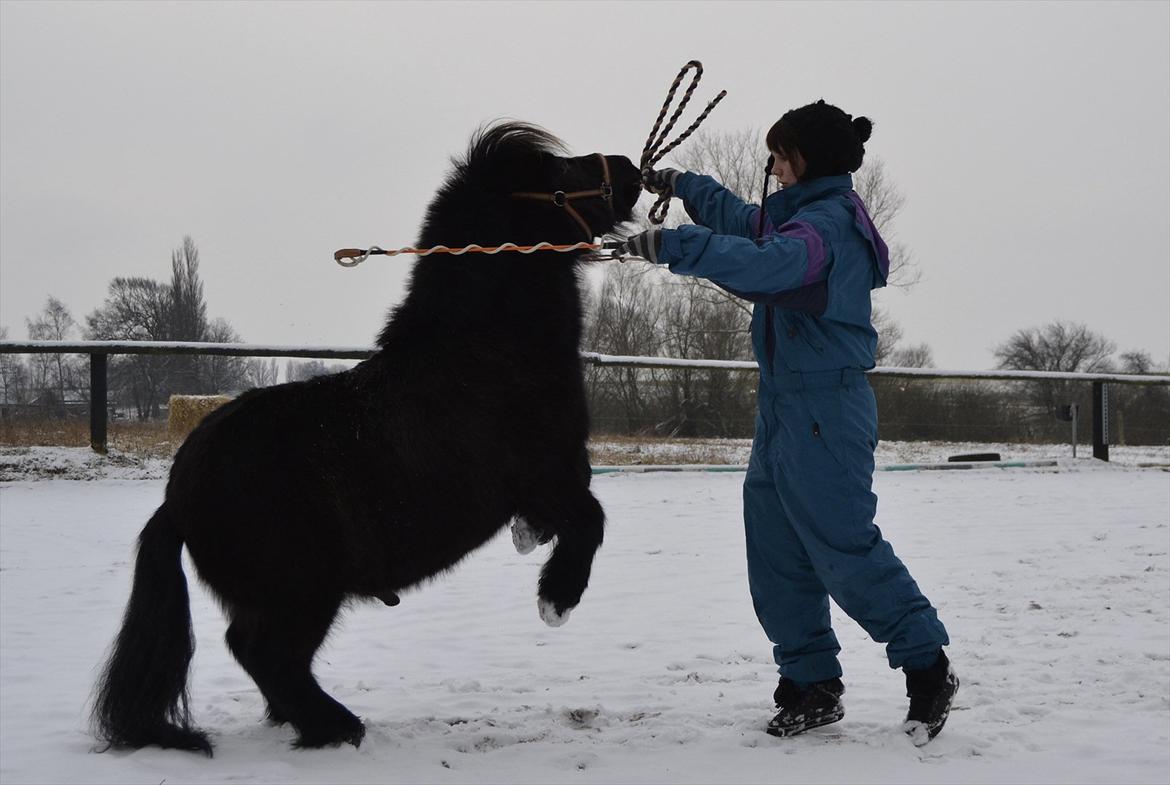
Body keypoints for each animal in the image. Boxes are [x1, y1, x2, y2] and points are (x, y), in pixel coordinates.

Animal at [91, 122, 641, 753]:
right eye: (559, 175)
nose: (631, 168)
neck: (486, 352)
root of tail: (177, 497)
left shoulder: (553, 481)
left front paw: (536, 549)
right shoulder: (547, 476)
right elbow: (591, 520)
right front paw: (556, 600)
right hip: (301, 592)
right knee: (262, 652)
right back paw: (336, 727)